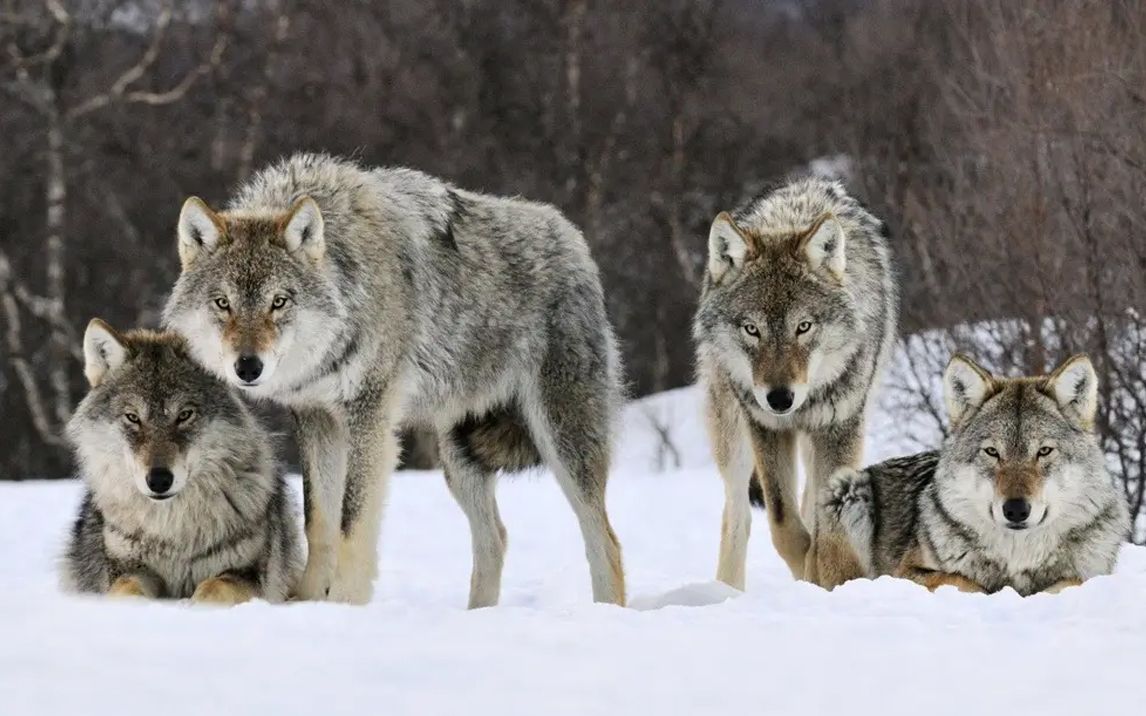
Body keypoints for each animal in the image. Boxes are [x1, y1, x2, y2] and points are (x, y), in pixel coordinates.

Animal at [62, 318, 300, 604]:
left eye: (184, 415)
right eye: (132, 417)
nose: (159, 480)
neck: (172, 530)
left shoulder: (247, 574)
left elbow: (213, 588)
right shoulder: (128, 569)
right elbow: (126, 590)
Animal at [162, 152, 628, 604]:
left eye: (279, 302)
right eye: (223, 303)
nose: (248, 367)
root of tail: (573, 238)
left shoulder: (369, 417)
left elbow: (351, 524)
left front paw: (344, 605)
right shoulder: (316, 419)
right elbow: (319, 522)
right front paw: (308, 601)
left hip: (562, 440)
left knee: (605, 540)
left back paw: (605, 612)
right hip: (459, 456)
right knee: (495, 538)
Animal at [692, 177, 898, 586]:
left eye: (803, 327)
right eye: (751, 329)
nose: (780, 399)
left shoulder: (840, 428)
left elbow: (825, 528)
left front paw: (828, 577)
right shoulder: (767, 427)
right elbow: (783, 523)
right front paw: (807, 571)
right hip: (733, 435)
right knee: (737, 515)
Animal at [820, 352, 1132, 591]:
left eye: (1044, 451)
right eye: (992, 452)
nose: (1016, 509)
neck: (1018, 557)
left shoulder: (1090, 575)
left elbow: (1070, 582)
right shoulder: (905, 572)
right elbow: (965, 581)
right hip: (847, 489)